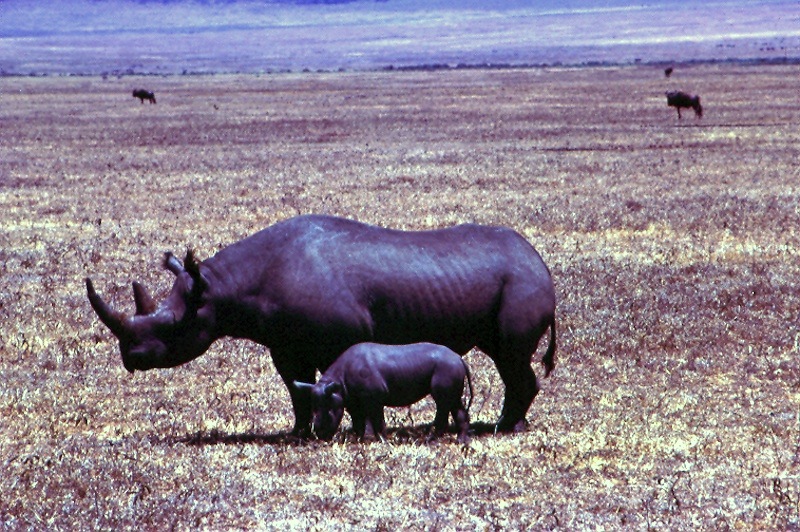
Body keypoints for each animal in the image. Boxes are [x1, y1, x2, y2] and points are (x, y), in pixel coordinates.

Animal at [294, 342, 473, 443]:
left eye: (330, 413)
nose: (320, 435)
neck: (336, 382)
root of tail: (459, 358)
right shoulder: (352, 397)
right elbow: (360, 419)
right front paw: (364, 439)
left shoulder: (373, 396)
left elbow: (373, 418)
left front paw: (374, 440)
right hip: (449, 367)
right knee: (452, 401)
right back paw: (461, 441)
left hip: (446, 367)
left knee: (442, 402)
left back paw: (431, 441)